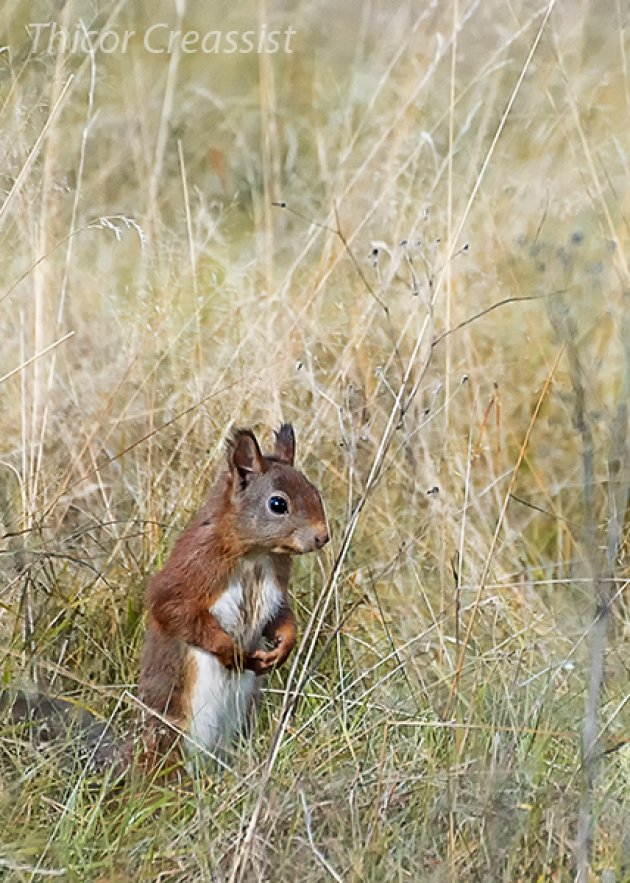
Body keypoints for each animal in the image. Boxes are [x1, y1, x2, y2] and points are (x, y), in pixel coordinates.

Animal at [136, 422, 328, 760]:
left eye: (314, 491)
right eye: (278, 504)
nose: (323, 536)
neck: (255, 555)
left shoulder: (276, 589)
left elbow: (282, 617)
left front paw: (283, 647)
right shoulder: (192, 569)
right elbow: (172, 608)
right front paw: (230, 651)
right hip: (172, 725)